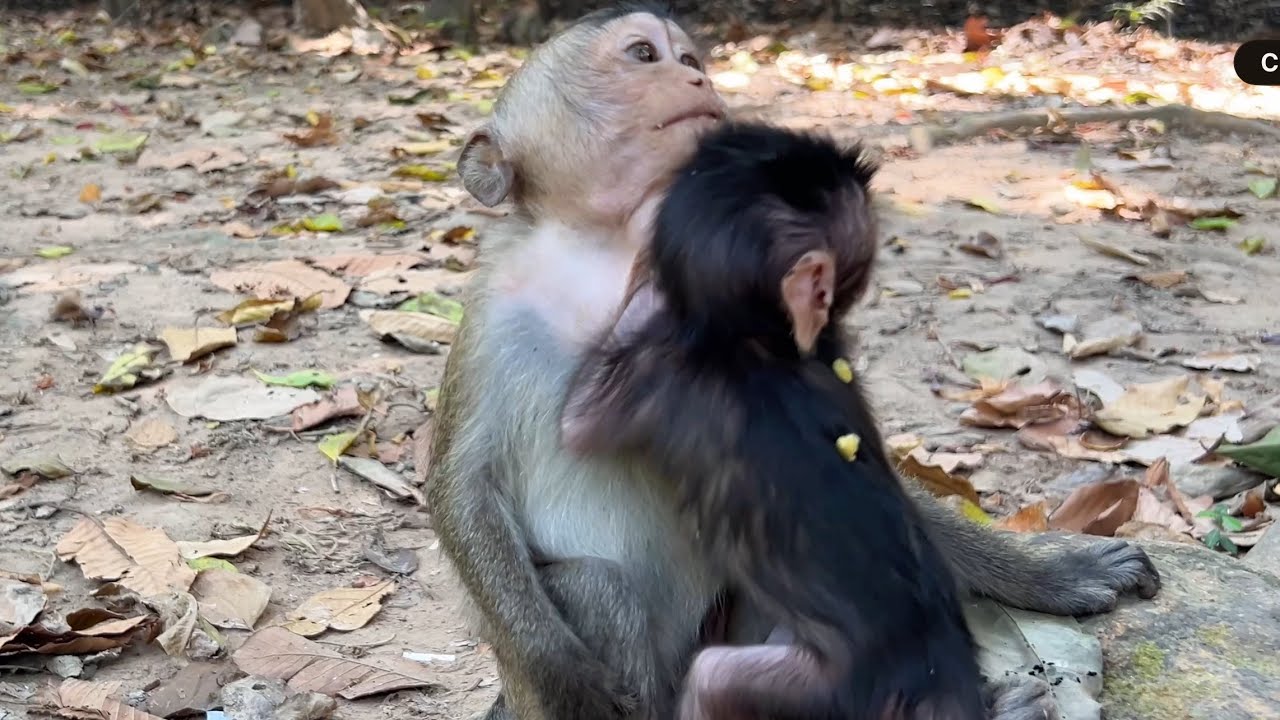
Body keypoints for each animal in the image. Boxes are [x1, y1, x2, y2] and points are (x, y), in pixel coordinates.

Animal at [558, 121, 988, 720]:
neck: (758, 345)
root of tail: (939, 671)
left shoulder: (653, 373)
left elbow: (575, 423)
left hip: (826, 688)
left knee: (714, 679)